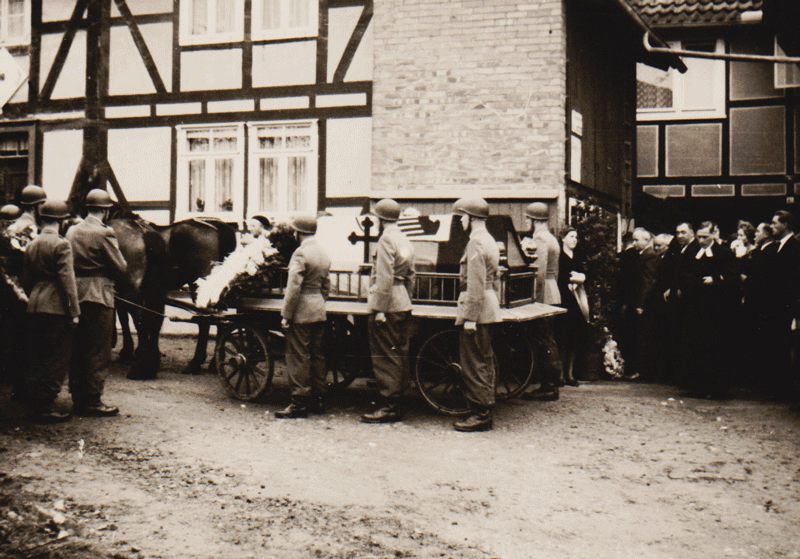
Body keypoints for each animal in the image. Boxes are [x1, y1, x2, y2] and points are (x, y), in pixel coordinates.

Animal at [111, 215, 237, 380]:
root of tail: (215, 226)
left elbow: (126, 317)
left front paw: (128, 351)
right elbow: (154, 320)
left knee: (206, 321)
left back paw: (195, 363)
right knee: (218, 319)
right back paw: (213, 363)